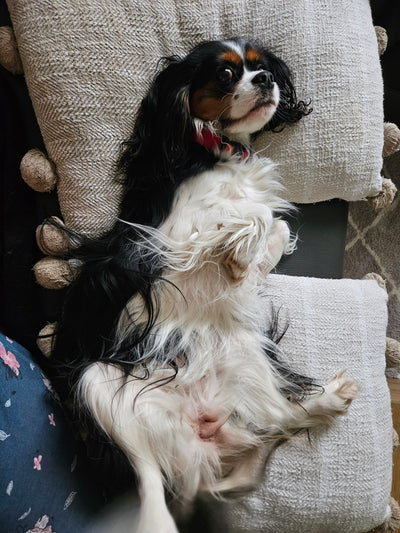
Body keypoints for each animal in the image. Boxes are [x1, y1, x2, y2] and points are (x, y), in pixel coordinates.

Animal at [45, 39, 358, 528]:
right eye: (226, 74)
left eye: (262, 67)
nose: (265, 80)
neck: (215, 150)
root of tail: (199, 429)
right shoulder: (166, 241)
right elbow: (254, 216)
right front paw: (236, 251)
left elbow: (274, 228)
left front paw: (241, 263)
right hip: (97, 382)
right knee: (151, 485)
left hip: (243, 353)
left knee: (275, 417)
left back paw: (328, 398)